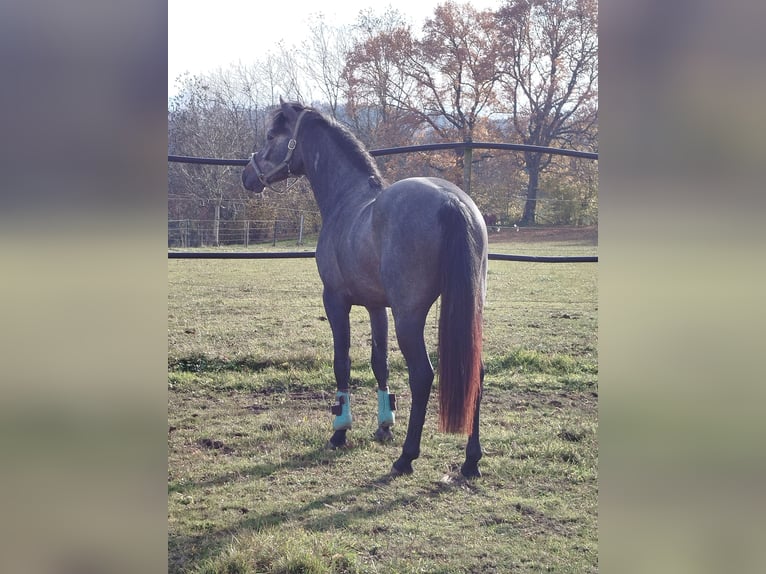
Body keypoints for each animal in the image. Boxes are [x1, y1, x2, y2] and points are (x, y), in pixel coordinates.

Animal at [242, 99, 488, 478]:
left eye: (271, 136)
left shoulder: (335, 300)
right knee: (476, 371)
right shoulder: (376, 306)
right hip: (469, 309)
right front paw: (384, 424)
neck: (347, 200)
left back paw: (406, 458)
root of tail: (452, 202)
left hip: (409, 316)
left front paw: (340, 430)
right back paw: (470, 460)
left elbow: (341, 362)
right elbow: (379, 362)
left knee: (422, 374)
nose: (247, 175)